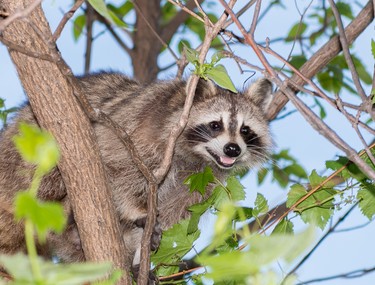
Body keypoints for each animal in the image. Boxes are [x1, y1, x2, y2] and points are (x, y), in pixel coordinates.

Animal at [0, 72, 274, 268]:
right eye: (216, 125)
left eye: (245, 130)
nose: (232, 149)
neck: (196, 157)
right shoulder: (138, 129)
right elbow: (117, 167)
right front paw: (138, 212)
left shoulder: (203, 180)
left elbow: (178, 212)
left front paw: (140, 251)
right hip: (26, 157)